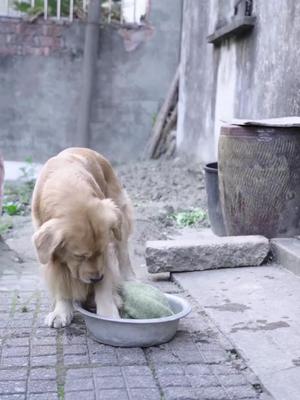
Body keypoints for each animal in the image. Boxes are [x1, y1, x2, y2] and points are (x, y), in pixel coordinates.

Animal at [31, 148, 134, 328]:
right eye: (79, 256)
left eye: (100, 252)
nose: (96, 277)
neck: (65, 183)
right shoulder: (53, 255)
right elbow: (61, 283)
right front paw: (61, 311)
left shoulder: (105, 253)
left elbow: (105, 283)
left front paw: (108, 314)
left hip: (120, 220)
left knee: (123, 257)